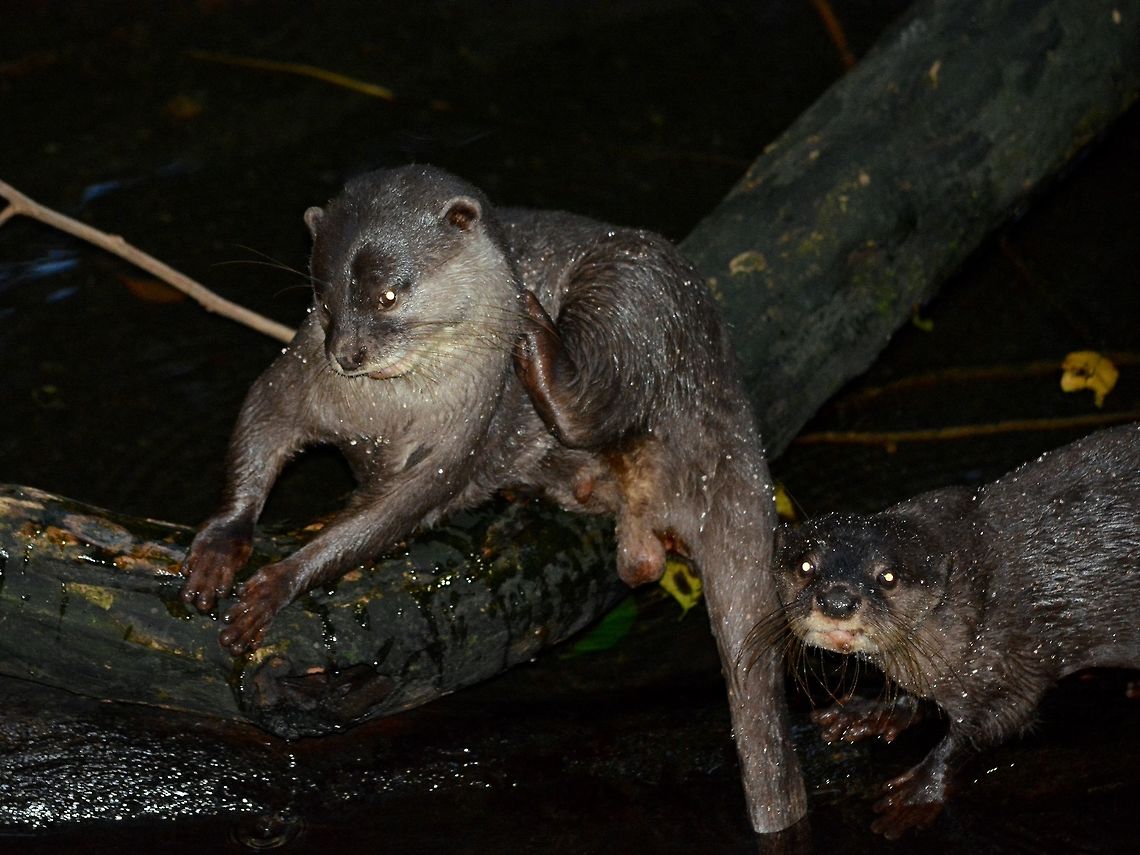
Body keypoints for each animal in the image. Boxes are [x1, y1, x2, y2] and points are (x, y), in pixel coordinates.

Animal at [179, 165, 806, 832]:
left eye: (388, 296)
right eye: (324, 298)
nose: (347, 354)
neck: (382, 419)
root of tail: (720, 378)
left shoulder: (457, 439)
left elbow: (393, 510)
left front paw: (276, 584)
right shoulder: (300, 371)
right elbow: (262, 419)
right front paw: (220, 547)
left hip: (641, 282)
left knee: (596, 394)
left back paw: (537, 337)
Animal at [764, 422, 1140, 839]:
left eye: (887, 577)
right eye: (806, 566)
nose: (837, 601)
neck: (979, 597)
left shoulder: (1011, 659)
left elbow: (991, 725)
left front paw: (920, 790)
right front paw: (870, 711)